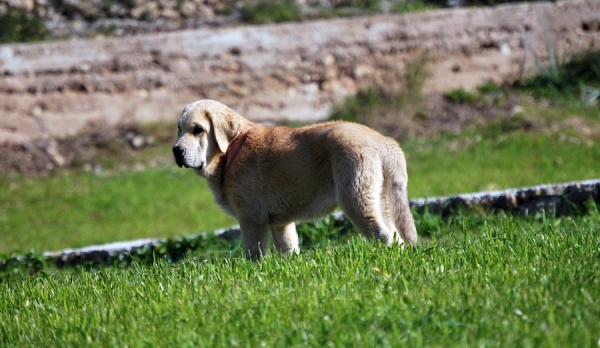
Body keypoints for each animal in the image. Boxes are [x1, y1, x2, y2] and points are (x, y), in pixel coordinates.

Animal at [173, 99, 418, 260]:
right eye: (179, 129)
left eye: (198, 130)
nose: (176, 150)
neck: (232, 150)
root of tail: (381, 140)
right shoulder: (280, 223)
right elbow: (289, 249)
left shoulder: (252, 219)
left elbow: (254, 254)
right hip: (381, 198)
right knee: (395, 234)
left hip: (356, 198)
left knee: (384, 234)